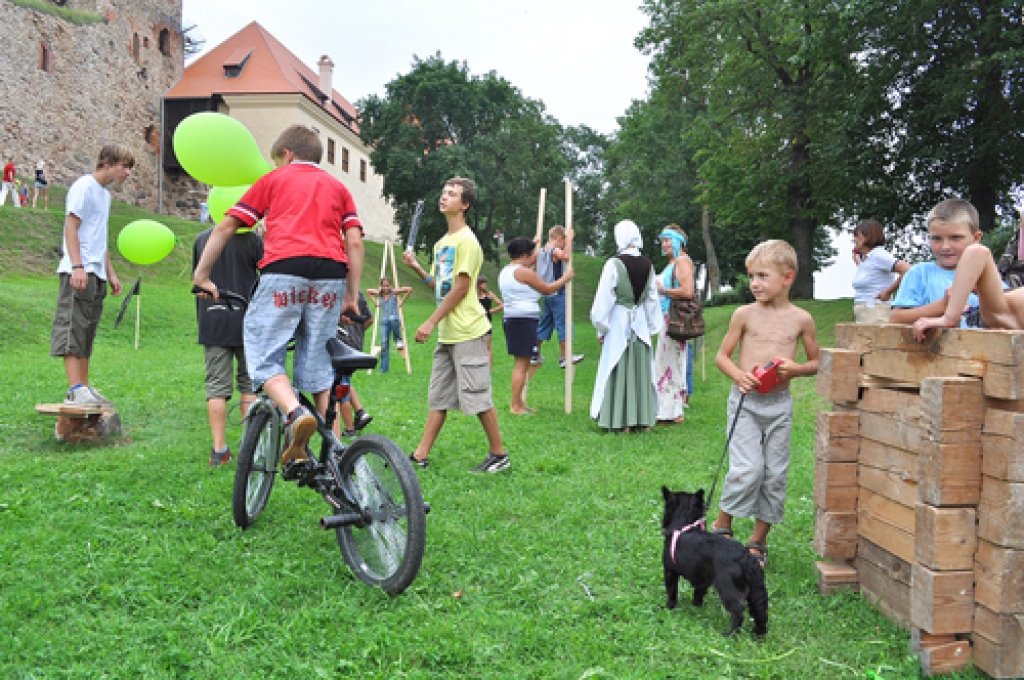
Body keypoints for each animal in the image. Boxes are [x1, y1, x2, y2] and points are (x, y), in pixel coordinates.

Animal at [663, 485, 770, 634]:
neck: (684, 525)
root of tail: (746, 558)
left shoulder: (670, 571)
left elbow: (672, 592)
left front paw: (669, 607)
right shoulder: (702, 578)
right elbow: (698, 593)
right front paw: (696, 606)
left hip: (728, 589)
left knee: (738, 613)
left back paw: (730, 634)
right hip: (755, 592)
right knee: (760, 613)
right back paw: (758, 633)